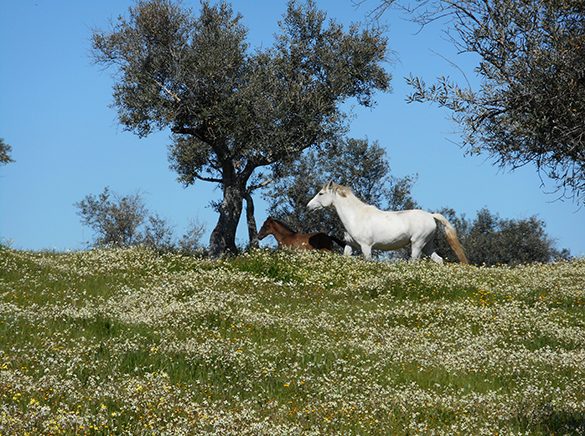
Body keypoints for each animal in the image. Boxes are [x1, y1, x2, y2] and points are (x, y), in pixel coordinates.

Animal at [306, 181, 466, 262]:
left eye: (321, 193)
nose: (308, 206)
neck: (356, 216)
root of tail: (431, 216)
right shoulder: (350, 245)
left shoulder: (366, 246)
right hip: (427, 245)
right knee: (439, 260)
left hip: (417, 244)